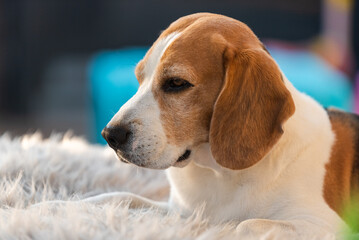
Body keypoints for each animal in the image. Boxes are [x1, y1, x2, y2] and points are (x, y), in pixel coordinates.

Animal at [57, 13, 359, 238]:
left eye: (177, 83)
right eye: (139, 78)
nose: (110, 135)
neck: (217, 173)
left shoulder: (323, 225)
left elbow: (245, 225)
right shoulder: (178, 211)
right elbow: (119, 196)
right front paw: (56, 206)